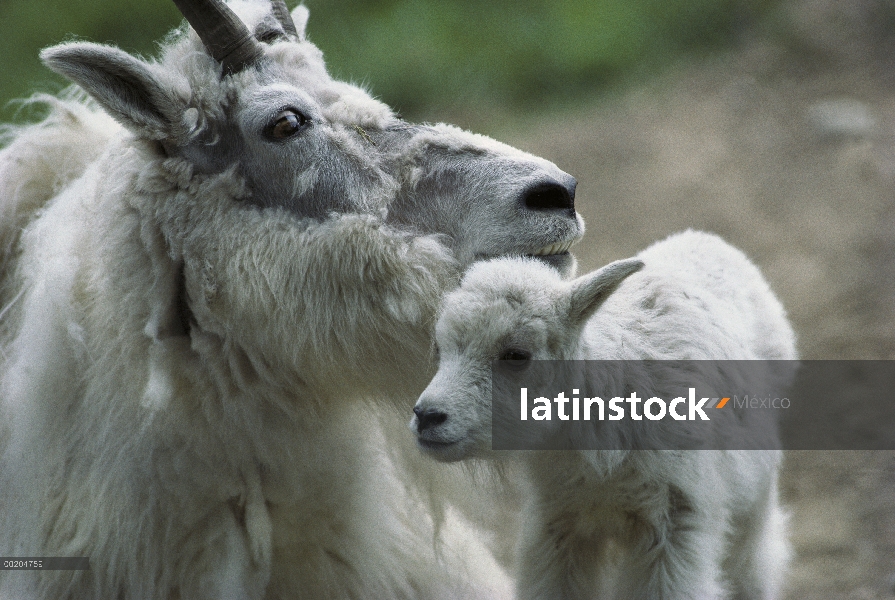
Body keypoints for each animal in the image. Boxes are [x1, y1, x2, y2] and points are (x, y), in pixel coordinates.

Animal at [412, 231, 800, 600]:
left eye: (516, 355)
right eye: (439, 349)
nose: (427, 416)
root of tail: (707, 239)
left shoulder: (677, 523)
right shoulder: (558, 521)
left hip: (753, 496)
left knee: (753, 564)